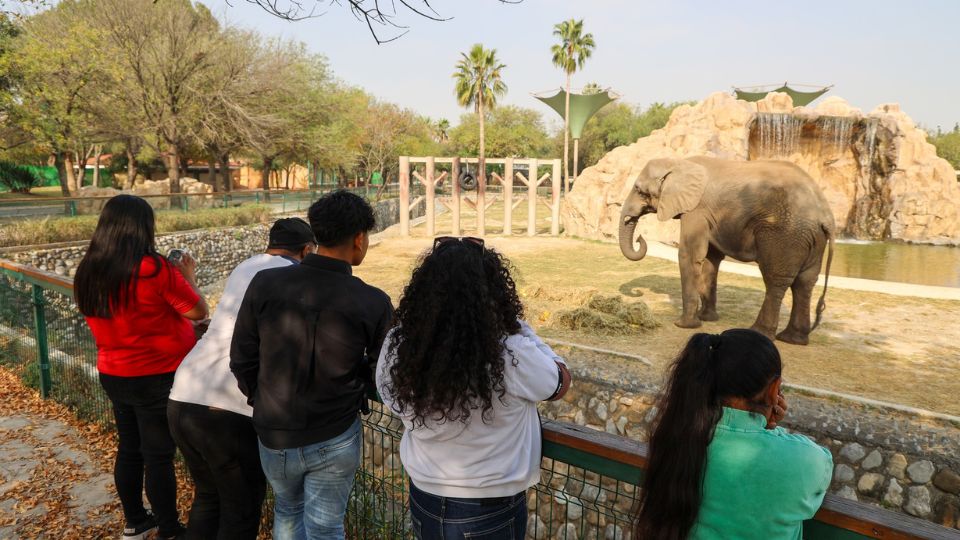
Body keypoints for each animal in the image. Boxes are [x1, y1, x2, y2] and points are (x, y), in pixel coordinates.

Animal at [624, 155, 832, 346]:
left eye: (639, 191)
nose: (640, 237)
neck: (679, 162)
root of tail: (825, 215)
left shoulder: (697, 210)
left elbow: (690, 254)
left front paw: (684, 325)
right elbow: (711, 259)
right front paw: (707, 318)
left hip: (785, 234)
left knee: (776, 280)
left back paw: (760, 332)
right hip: (812, 239)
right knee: (805, 282)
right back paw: (793, 339)